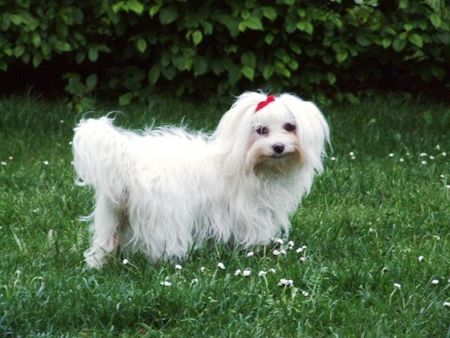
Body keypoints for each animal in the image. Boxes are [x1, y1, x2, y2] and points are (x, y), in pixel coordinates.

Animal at [72, 91, 328, 268]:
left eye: (290, 127)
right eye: (261, 130)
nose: (278, 147)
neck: (252, 165)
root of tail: (128, 158)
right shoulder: (253, 212)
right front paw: (259, 249)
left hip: (112, 213)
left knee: (105, 241)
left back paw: (96, 264)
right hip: (165, 215)